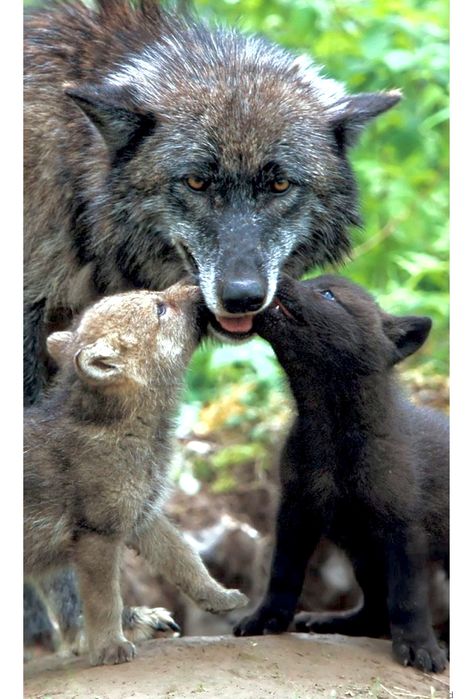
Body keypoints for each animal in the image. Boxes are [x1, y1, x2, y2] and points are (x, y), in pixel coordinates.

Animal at [235, 276, 450, 676]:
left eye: (328, 294)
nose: (278, 277)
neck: (331, 433)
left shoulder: (404, 528)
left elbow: (409, 598)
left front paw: (419, 647)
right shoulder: (296, 510)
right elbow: (282, 574)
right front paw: (266, 619)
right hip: (363, 554)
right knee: (374, 610)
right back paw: (332, 621)